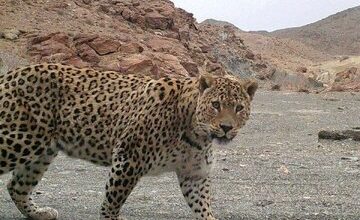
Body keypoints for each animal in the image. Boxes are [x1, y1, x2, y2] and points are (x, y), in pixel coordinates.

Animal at [0, 62, 258, 219]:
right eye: (216, 105)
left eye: (238, 108)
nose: (226, 128)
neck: (197, 133)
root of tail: (10, 74)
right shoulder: (129, 158)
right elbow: (113, 200)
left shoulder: (194, 174)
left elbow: (203, 206)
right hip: (19, 140)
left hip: (41, 151)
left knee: (16, 186)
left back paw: (39, 213)